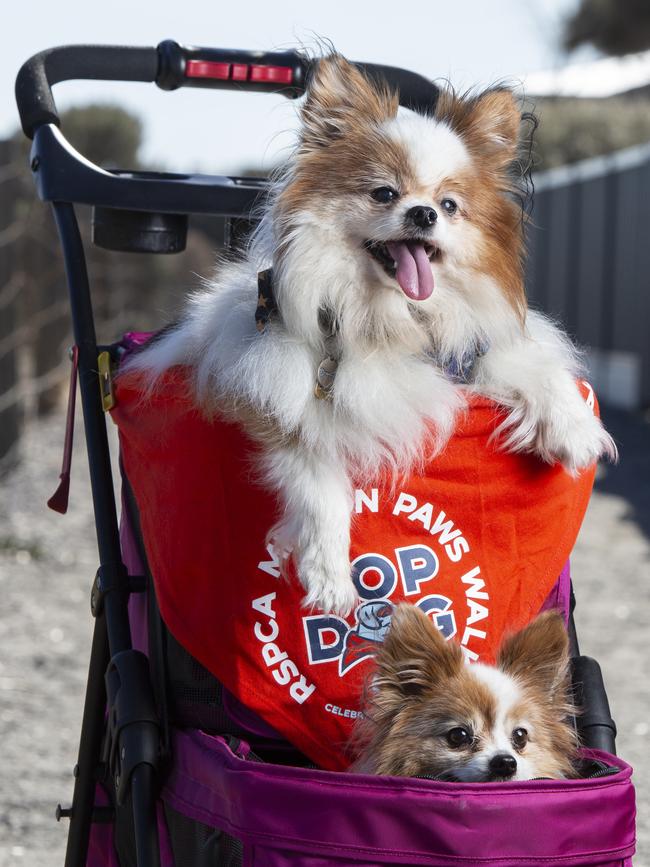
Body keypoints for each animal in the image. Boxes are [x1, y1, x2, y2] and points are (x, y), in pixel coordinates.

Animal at [125, 52, 612, 616]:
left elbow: (534, 365)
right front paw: (329, 574)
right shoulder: (275, 401)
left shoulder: (462, 359)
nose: (423, 212)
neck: (389, 320)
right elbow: (319, 480)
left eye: (449, 205)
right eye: (384, 193)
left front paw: (575, 430)